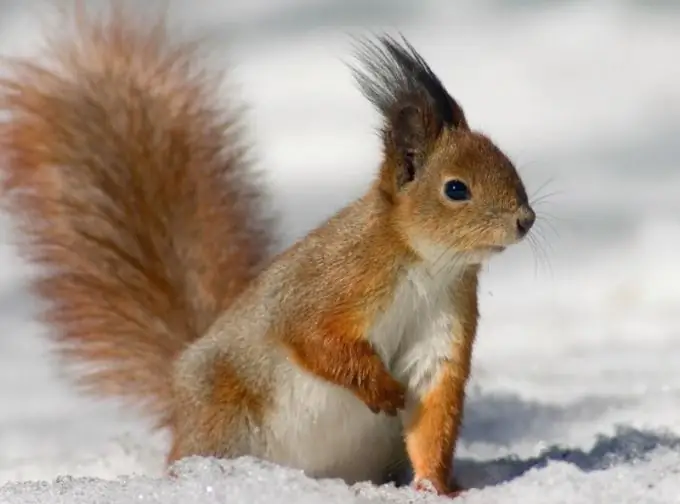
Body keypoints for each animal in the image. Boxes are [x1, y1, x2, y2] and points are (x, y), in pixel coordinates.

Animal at [0, 3, 536, 500]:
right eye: (456, 189)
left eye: (510, 166)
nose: (525, 220)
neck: (427, 265)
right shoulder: (332, 281)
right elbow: (311, 337)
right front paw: (380, 387)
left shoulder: (443, 326)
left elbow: (432, 408)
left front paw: (435, 487)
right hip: (224, 421)